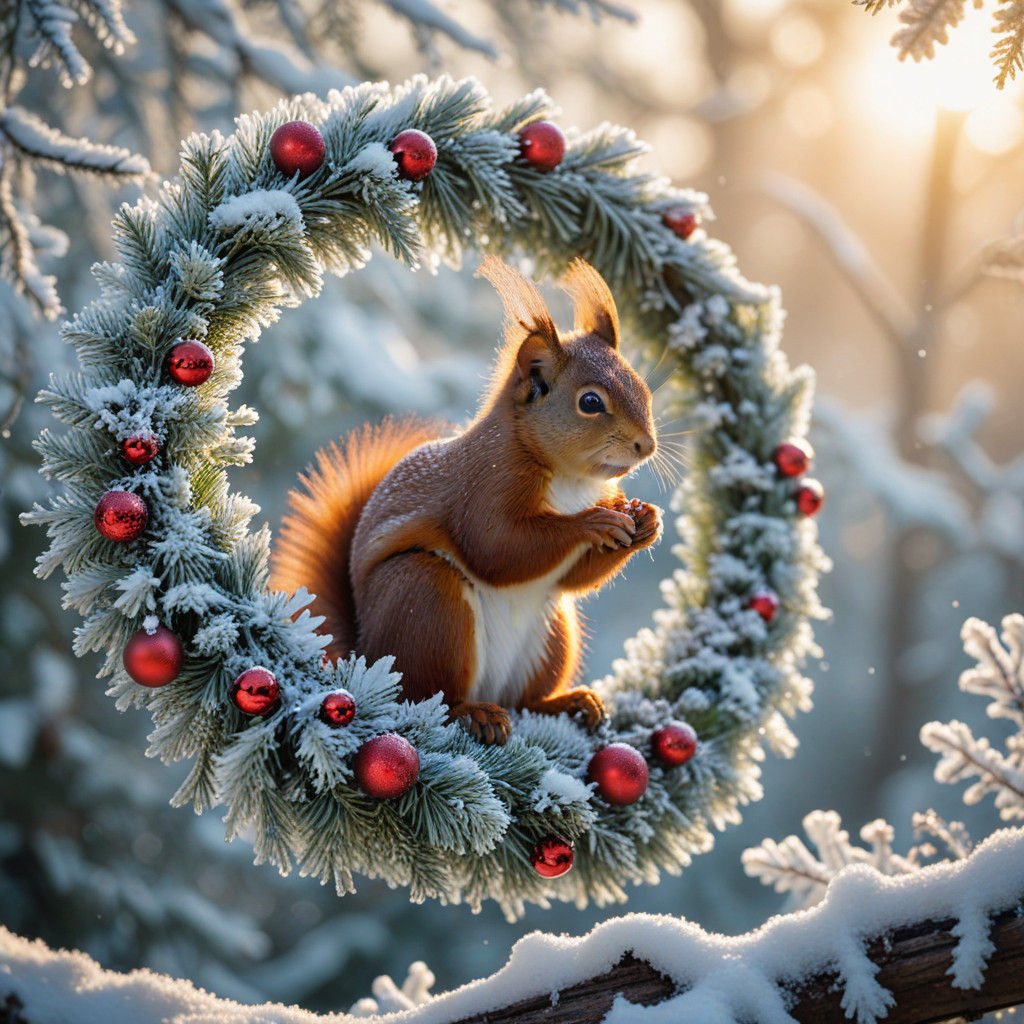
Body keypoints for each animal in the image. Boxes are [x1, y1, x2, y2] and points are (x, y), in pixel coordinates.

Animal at [271, 256, 661, 746]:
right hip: (429, 602)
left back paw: (568, 703)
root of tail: (364, 655)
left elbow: (574, 577)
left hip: (553, 634)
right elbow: (496, 547)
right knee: (424, 698)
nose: (646, 446)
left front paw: (647, 522)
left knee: (525, 700)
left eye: (642, 387)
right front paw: (592, 523)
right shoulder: (486, 484)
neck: (574, 481)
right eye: (590, 402)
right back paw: (473, 714)